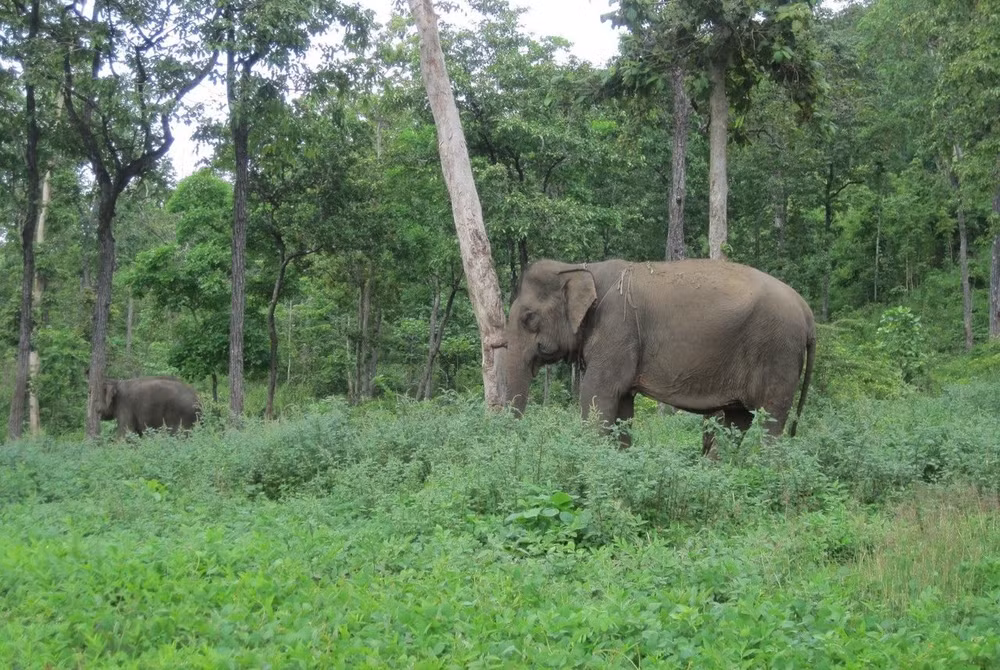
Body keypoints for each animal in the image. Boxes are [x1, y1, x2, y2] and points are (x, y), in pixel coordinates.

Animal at [503, 259, 816, 452]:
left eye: (529, 319)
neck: (580, 267)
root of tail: (806, 310)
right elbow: (622, 404)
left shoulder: (618, 329)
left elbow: (597, 394)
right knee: (738, 420)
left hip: (778, 352)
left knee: (770, 421)